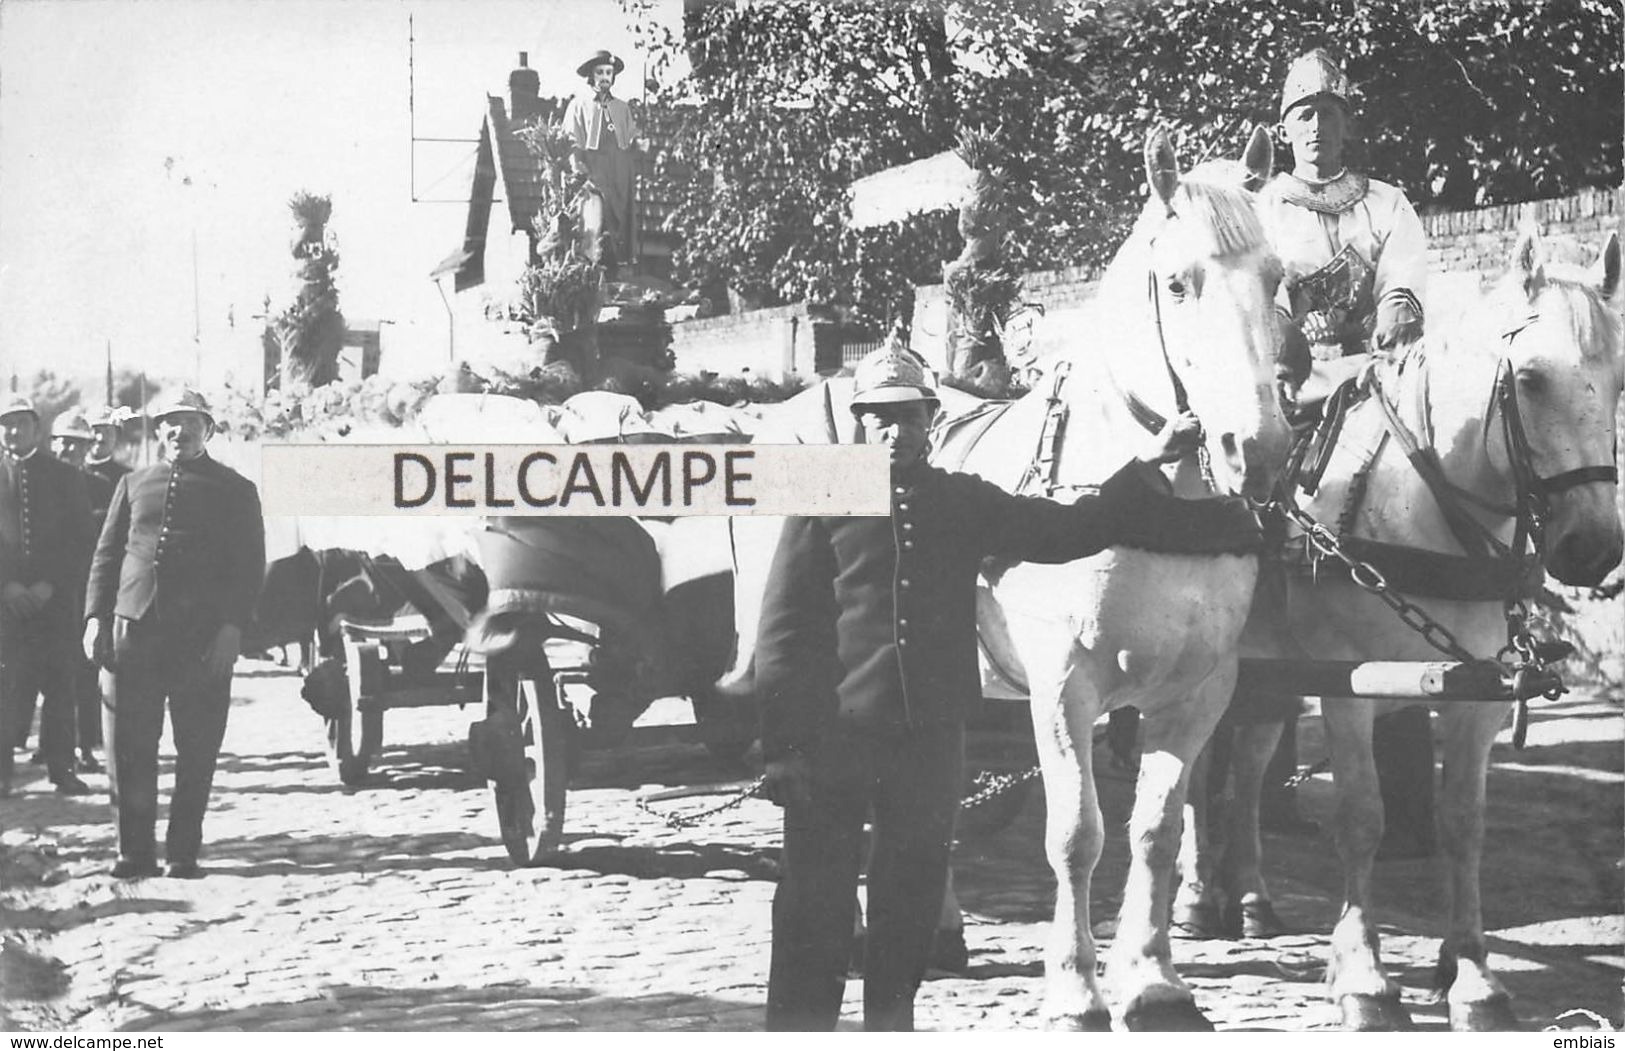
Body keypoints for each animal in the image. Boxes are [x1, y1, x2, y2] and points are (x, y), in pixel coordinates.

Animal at [1183, 225, 1625, 1033]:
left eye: (1615, 384)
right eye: (1529, 380)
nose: (1591, 549)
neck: (1422, 502)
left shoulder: (1474, 691)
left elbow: (1464, 822)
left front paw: (1472, 975)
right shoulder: (1348, 685)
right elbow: (1361, 815)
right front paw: (1362, 975)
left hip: (1268, 668)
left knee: (1249, 761)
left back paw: (1250, 894)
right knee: (1198, 765)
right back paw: (1197, 897)